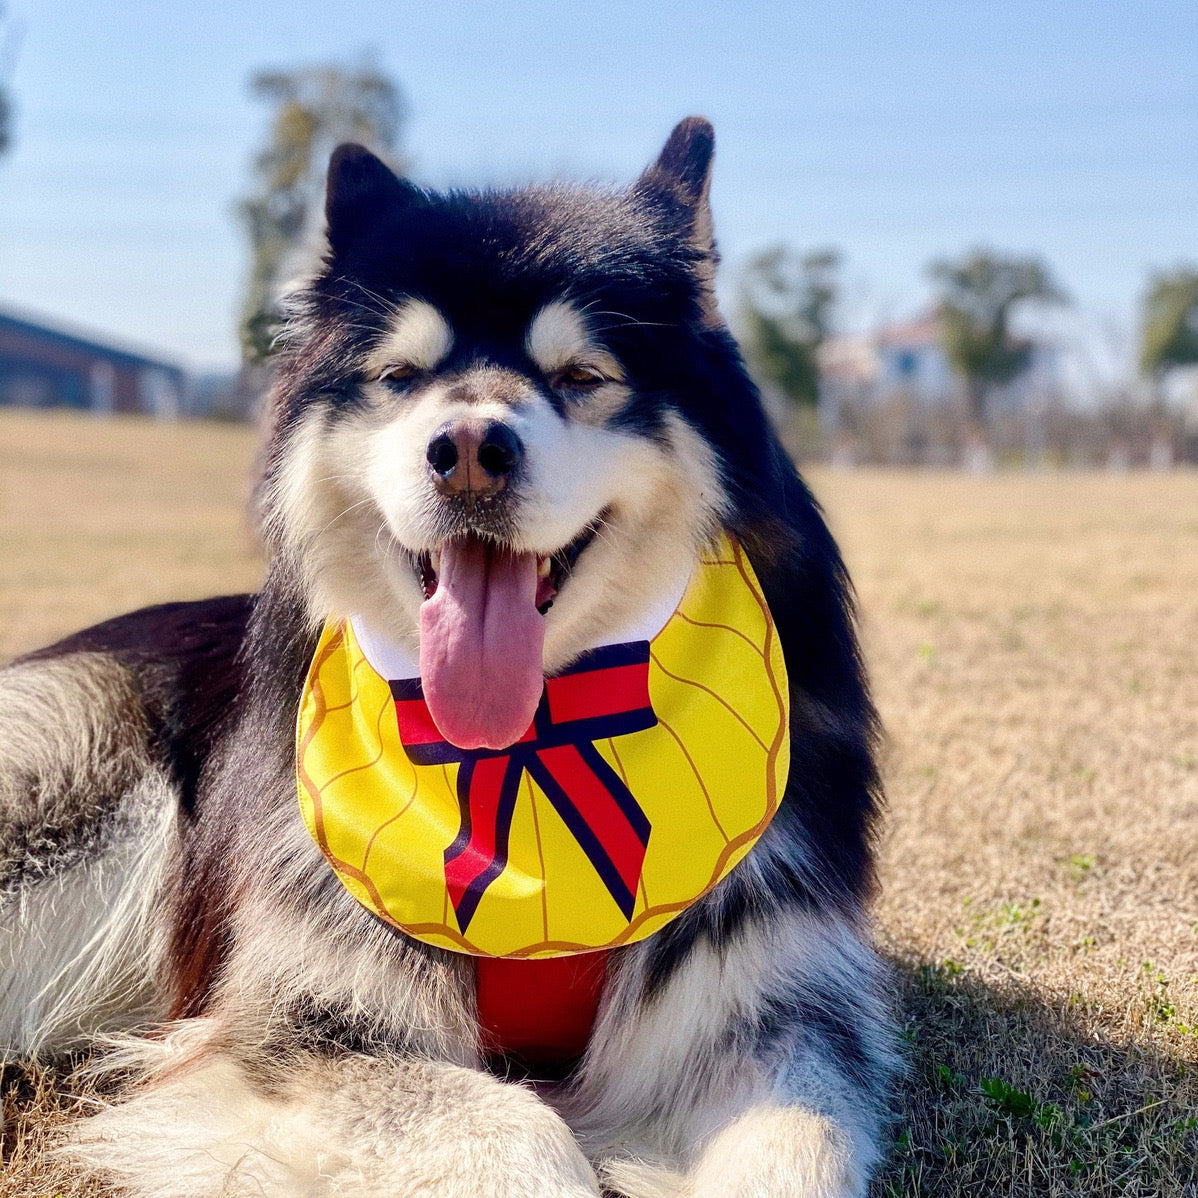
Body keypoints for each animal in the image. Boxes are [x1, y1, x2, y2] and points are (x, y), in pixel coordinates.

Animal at [0, 114, 900, 1198]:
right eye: (400, 379)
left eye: (581, 377)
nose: (468, 449)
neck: (527, 743)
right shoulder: (302, 1021)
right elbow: (509, 1132)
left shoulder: (771, 1011)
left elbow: (795, 1144)